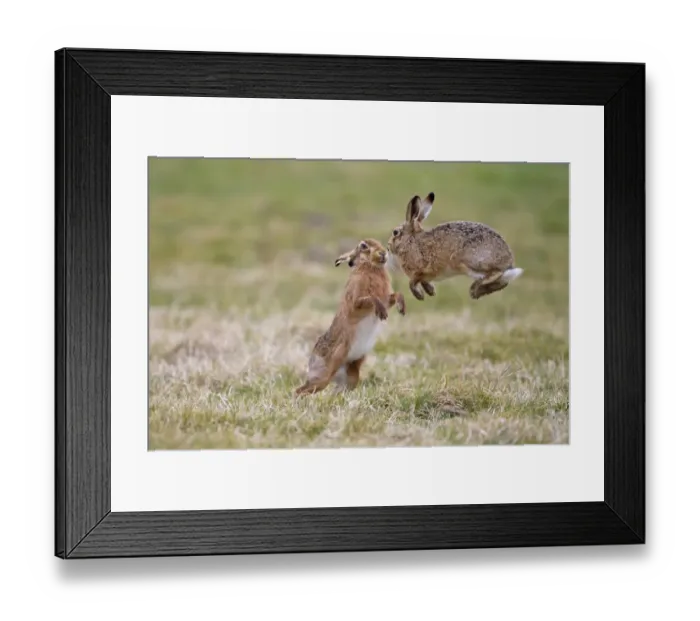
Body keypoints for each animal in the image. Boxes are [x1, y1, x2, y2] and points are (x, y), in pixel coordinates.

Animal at [295, 238, 406, 396]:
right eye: (364, 246)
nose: (383, 253)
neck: (370, 267)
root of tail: (312, 359)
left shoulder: (386, 299)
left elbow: (396, 295)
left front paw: (402, 307)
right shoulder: (356, 302)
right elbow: (371, 298)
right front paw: (382, 312)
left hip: (351, 376)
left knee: (336, 391)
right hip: (323, 375)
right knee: (300, 390)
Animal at [386, 192, 524, 301]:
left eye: (395, 232)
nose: (388, 247)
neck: (410, 241)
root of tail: (508, 261)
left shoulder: (423, 269)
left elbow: (412, 282)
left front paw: (420, 295)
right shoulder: (426, 275)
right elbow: (422, 282)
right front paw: (431, 291)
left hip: (466, 261)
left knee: (496, 274)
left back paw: (474, 290)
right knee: (503, 282)